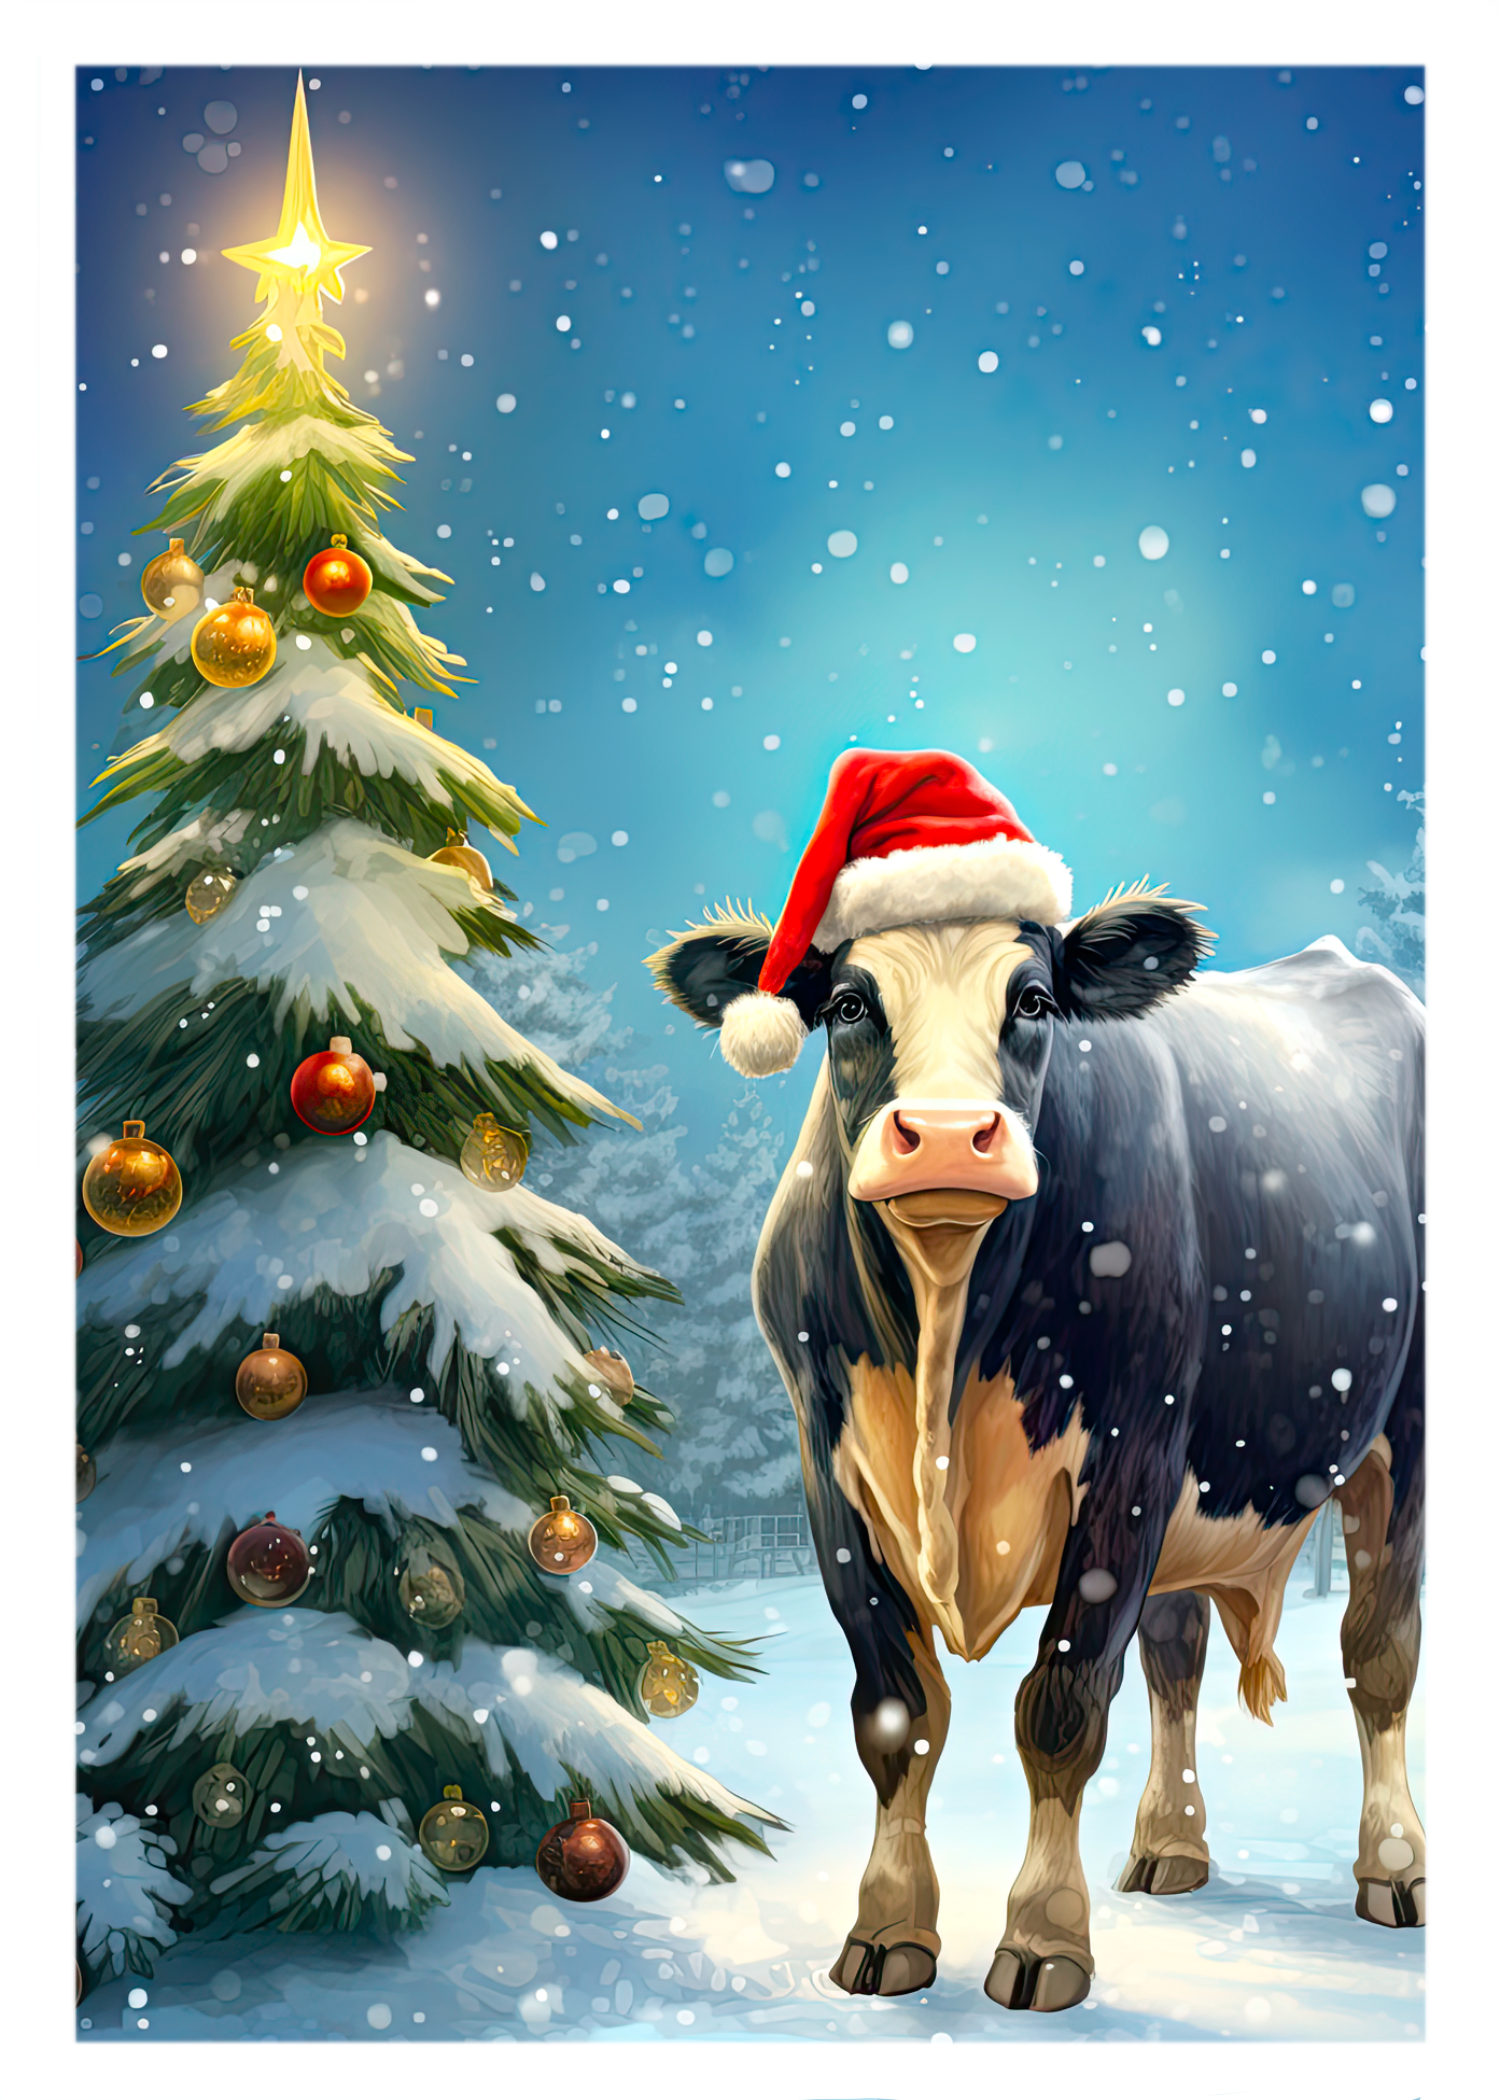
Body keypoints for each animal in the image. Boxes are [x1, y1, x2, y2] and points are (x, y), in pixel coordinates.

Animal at [646, 747, 1423, 2013]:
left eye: (1035, 1001)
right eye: (850, 1003)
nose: (947, 1134)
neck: (947, 1316)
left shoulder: (1132, 1454)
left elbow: (1060, 1707)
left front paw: (1045, 1937)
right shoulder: (830, 1474)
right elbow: (895, 1711)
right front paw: (886, 1931)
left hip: (1402, 1423)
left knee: (1379, 1650)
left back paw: (1395, 1867)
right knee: (1177, 1655)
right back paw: (1170, 1848)